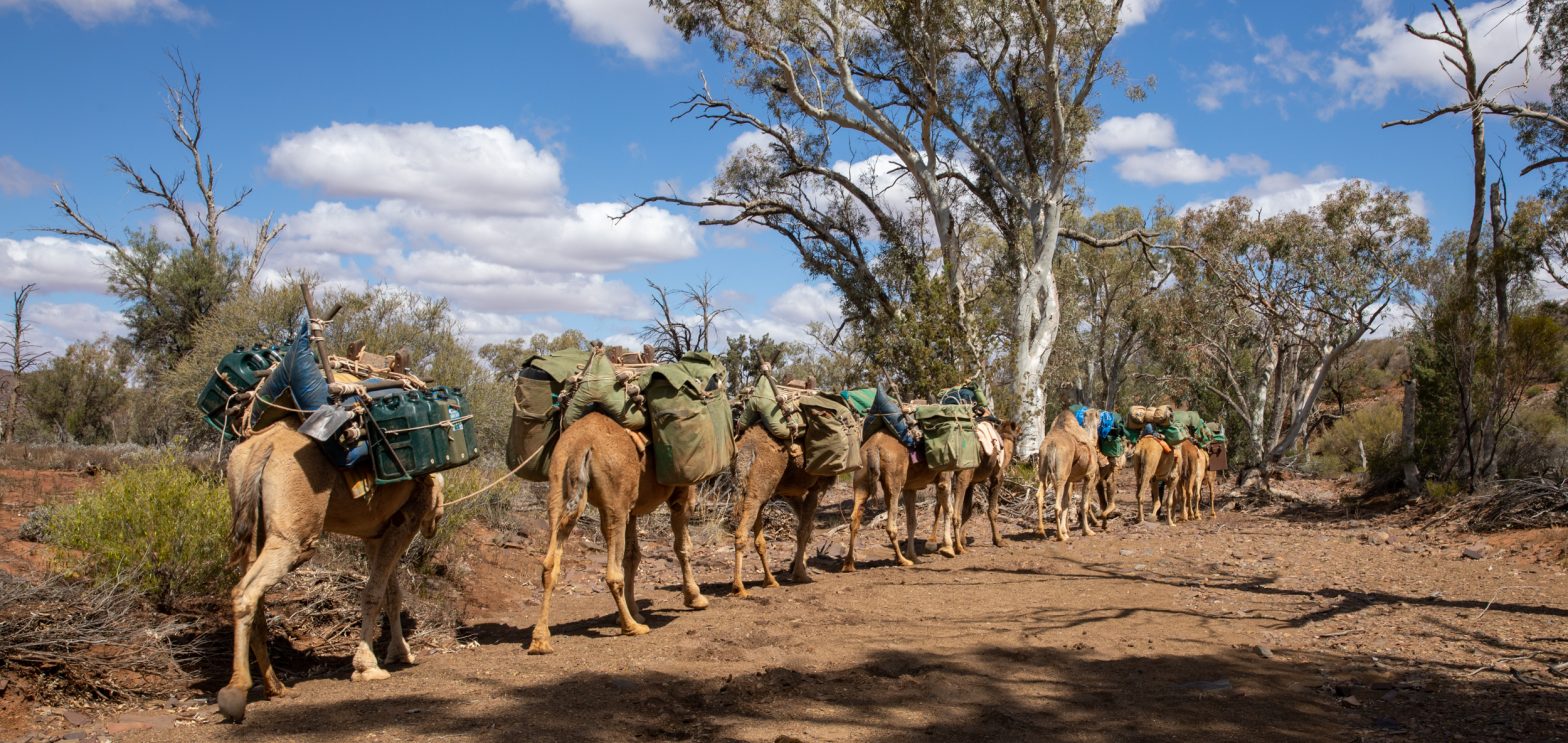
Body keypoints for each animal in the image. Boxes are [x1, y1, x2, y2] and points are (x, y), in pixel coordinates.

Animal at [218, 422, 445, 723]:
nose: (434, 524)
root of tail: (263, 446)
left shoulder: (375, 533)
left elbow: (391, 594)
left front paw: (399, 653)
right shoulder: (405, 521)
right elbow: (374, 594)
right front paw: (368, 667)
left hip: (251, 524)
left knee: (254, 597)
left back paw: (275, 687)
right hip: (293, 535)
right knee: (246, 592)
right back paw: (236, 691)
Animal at [527, 412, 707, 655]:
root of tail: (582, 444)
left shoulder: (631, 507)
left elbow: (632, 555)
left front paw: (635, 611)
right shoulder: (682, 491)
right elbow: (682, 547)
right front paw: (695, 598)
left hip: (558, 486)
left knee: (549, 565)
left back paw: (540, 641)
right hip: (615, 499)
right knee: (612, 572)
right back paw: (632, 628)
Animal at [730, 424, 834, 596]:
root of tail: (747, 449)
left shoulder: (790, 493)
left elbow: (807, 526)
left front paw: (796, 566)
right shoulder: (818, 487)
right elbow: (803, 530)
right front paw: (800, 574)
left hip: (757, 492)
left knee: (758, 539)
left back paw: (770, 581)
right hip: (759, 491)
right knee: (741, 534)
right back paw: (740, 588)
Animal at [843, 428, 973, 570]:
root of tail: (873, 448)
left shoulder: (910, 488)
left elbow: (912, 522)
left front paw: (914, 556)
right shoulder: (944, 479)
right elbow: (949, 510)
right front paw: (949, 549)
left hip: (861, 480)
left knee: (854, 521)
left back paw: (849, 565)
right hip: (894, 483)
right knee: (890, 525)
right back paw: (902, 561)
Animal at [1035, 408, 1101, 541]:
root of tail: (1051, 446)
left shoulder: (1069, 480)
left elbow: (1066, 502)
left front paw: (1065, 530)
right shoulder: (1089, 476)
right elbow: (1084, 504)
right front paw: (1087, 531)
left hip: (1044, 471)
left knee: (1039, 495)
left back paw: (1041, 531)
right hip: (1060, 476)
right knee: (1056, 505)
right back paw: (1061, 537)